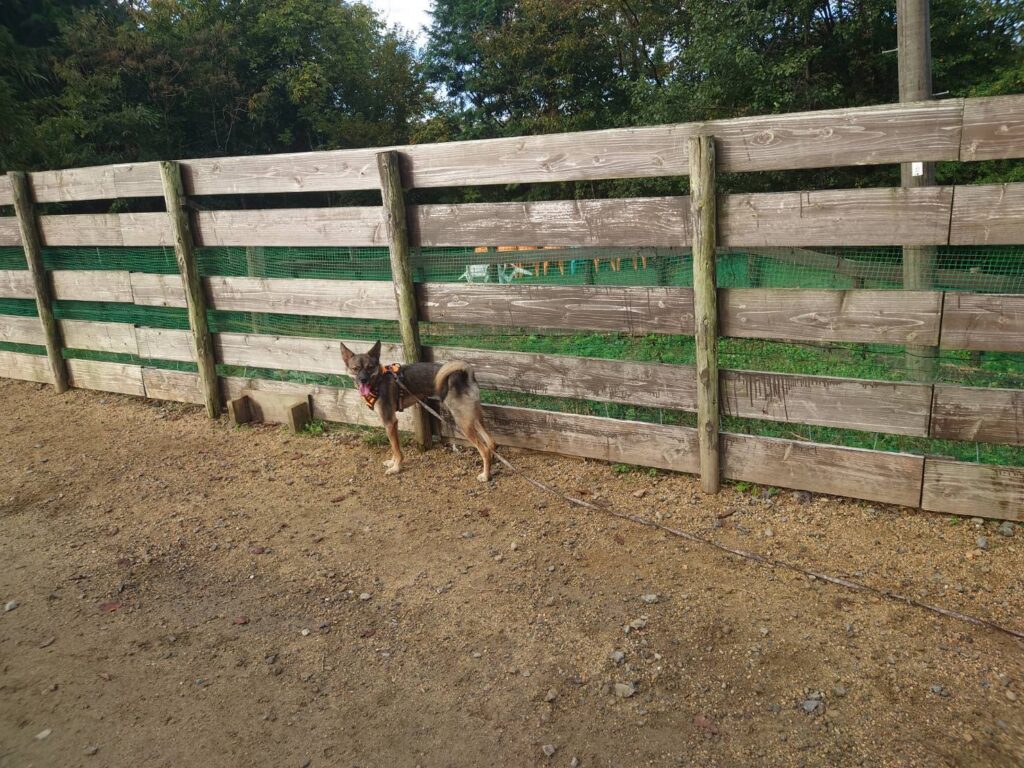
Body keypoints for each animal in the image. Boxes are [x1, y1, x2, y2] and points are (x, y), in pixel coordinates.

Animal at [340, 341, 496, 481]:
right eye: (355, 368)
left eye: (370, 367)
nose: (363, 380)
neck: (377, 381)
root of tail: (464, 375)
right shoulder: (390, 424)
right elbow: (394, 447)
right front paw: (392, 462)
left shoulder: (390, 422)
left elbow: (396, 448)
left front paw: (396, 468)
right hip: (473, 418)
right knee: (490, 442)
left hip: (462, 422)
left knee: (484, 449)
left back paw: (485, 476)